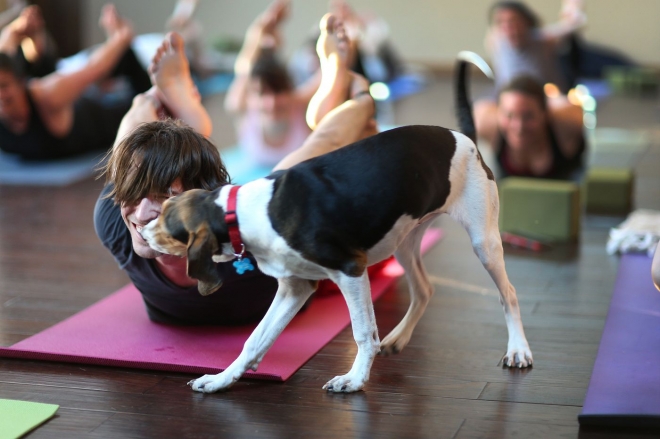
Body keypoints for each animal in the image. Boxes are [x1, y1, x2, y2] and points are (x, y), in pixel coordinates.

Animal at [142, 52, 532, 396]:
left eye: (166, 223)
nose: (142, 231)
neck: (250, 211)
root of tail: (462, 137)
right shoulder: (295, 287)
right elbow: (255, 339)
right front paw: (221, 379)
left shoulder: (351, 270)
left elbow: (362, 332)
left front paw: (355, 379)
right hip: (404, 242)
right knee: (424, 289)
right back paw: (400, 337)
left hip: (483, 242)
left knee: (509, 294)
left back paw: (518, 349)